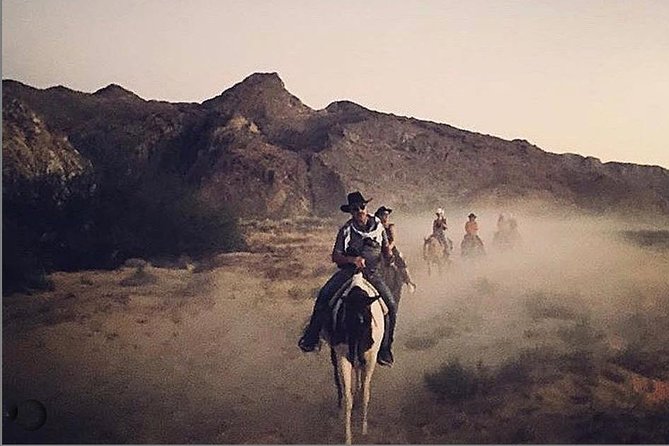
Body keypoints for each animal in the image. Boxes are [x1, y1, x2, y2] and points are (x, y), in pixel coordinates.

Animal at [324, 274, 386, 444]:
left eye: (367, 313)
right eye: (347, 315)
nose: (358, 344)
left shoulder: (370, 359)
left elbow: (365, 393)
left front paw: (364, 430)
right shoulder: (343, 357)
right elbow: (348, 398)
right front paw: (348, 437)